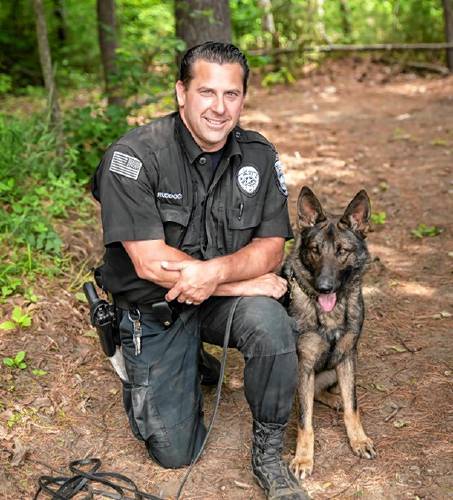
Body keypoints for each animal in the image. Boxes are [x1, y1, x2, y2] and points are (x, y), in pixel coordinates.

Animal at [284, 186, 376, 478]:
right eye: (315, 250)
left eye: (342, 251)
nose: (324, 287)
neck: (331, 313)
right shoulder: (304, 365)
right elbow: (305, 421)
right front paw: (303, 459)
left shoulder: (347, 357)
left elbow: (352, 406)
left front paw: (358, 440)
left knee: (323, 392)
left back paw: (335, 399)